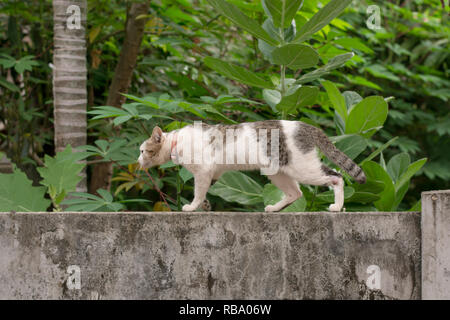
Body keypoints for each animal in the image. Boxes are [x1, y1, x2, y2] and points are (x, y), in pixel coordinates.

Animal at [139, 120, 368, 212]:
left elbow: (198, 192)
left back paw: (337, 207)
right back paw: (274, 208)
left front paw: (192, 207)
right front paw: (205, 206)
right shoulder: (214, 173)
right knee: (296, 193)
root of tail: (309, 127)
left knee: (337, 176)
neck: (177, 141)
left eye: (142, 151)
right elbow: (204, 193)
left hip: (303, 169)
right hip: (278, 173)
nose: (138, 160)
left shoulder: (203, 171)